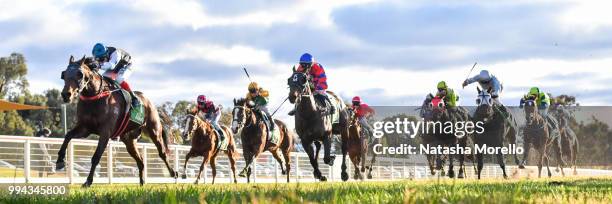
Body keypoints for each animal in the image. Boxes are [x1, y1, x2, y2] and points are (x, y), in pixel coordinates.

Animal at [57, 55, 176, 186]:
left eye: (80, 74)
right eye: (64, 74)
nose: (66, 94)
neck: (95, 96)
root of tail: (150, 103)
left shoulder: (105, 132)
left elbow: (96, 157)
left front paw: (88, 181)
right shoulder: (85, 128)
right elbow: (68, 136)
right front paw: (60, 161)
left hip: (154, 131)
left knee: (162, 153)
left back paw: (174, 173)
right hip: (129, 140)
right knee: (140, 161)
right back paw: (142, 183)